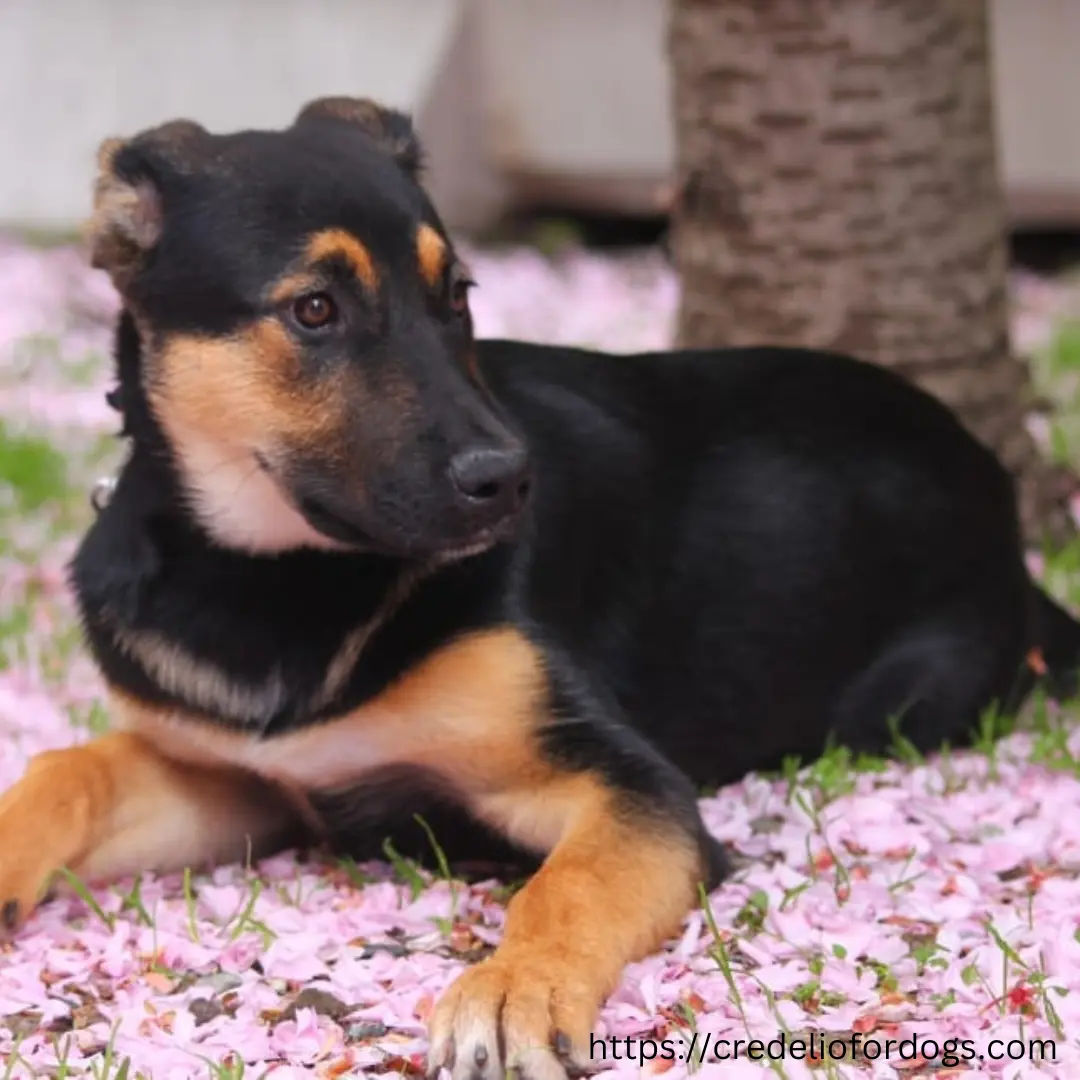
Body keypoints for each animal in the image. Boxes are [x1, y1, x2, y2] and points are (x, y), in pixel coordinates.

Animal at [0, 95, 1075, 1080]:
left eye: (458, 296)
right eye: (314, 308)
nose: (510, 481)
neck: (274, 578)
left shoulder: (622, 786)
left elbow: (568, 885)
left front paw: (514, 989)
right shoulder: (234, 780)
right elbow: (69, 766)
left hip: (903, 702)